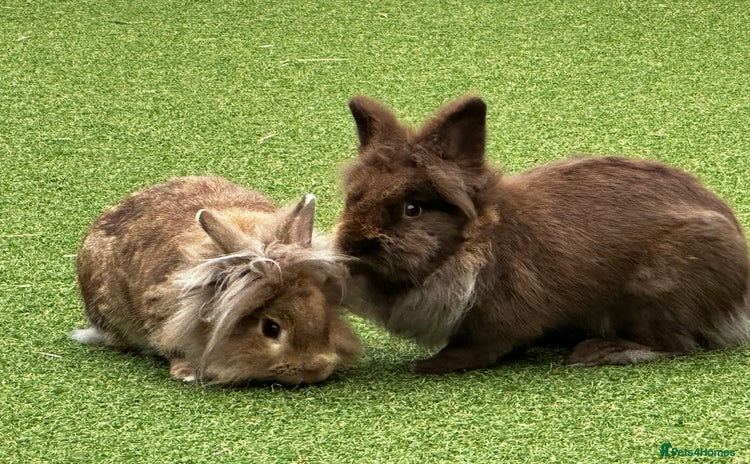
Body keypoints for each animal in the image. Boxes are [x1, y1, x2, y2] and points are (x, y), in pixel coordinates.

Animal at [334, 94, 750, 374]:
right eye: (353, 199)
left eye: (412, 210)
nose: (354, 246)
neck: (478, 242)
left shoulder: (501, 318)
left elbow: (479, 348)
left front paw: (430, 366)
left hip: (654, 293)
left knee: (676, 344)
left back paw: (597, 353)